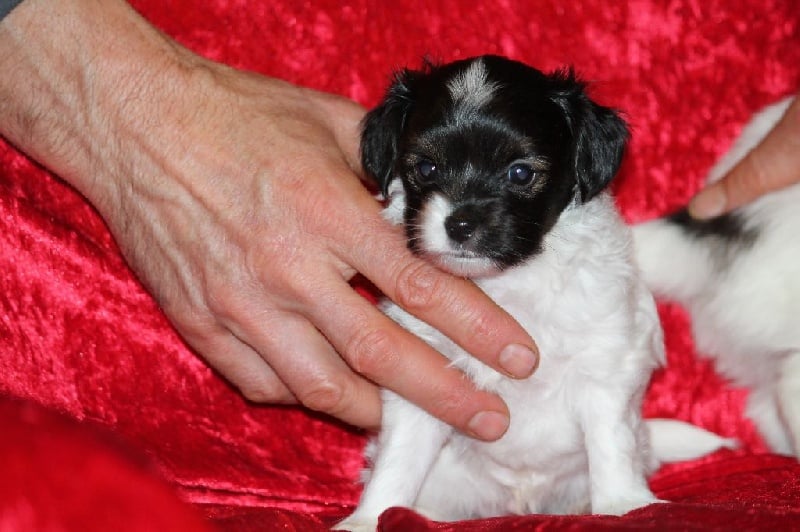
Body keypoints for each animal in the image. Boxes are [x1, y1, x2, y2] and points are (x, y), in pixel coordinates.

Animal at [337, 55, 729, 531]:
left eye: (520, 173)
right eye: (426, 168)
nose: (460, 223)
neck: (505, 283)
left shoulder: (604, 363)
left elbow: (610, 441)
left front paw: (624, 504)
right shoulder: (421, 379)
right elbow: (398, 458)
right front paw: (369, 517)